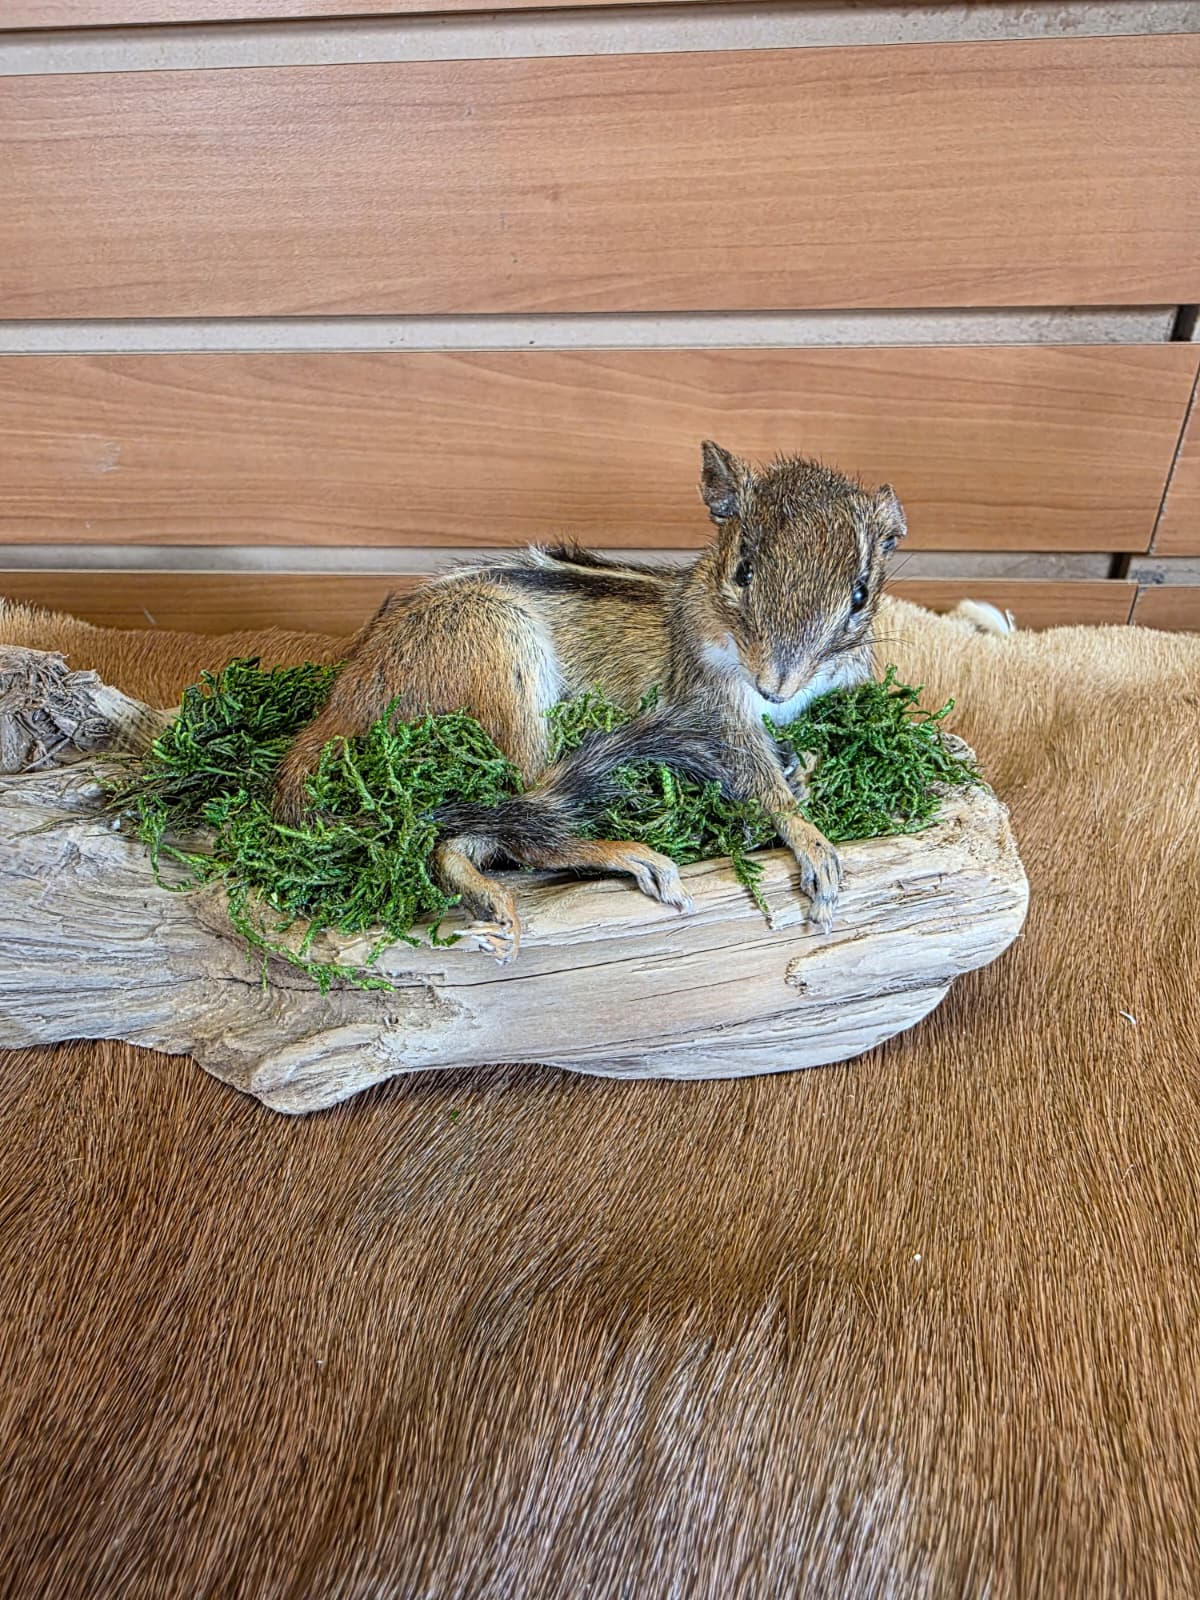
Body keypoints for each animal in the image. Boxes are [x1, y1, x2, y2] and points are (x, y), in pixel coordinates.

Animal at [273, 441, 906, 960]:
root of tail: (339, 705)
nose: (775, 685)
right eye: (743, 570)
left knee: (459, 846)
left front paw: (804, 770)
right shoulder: (709, 707)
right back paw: (625, 854)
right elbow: (759, 780)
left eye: (860, 593)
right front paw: (811, 840)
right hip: (504, 667)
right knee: (513, 831)